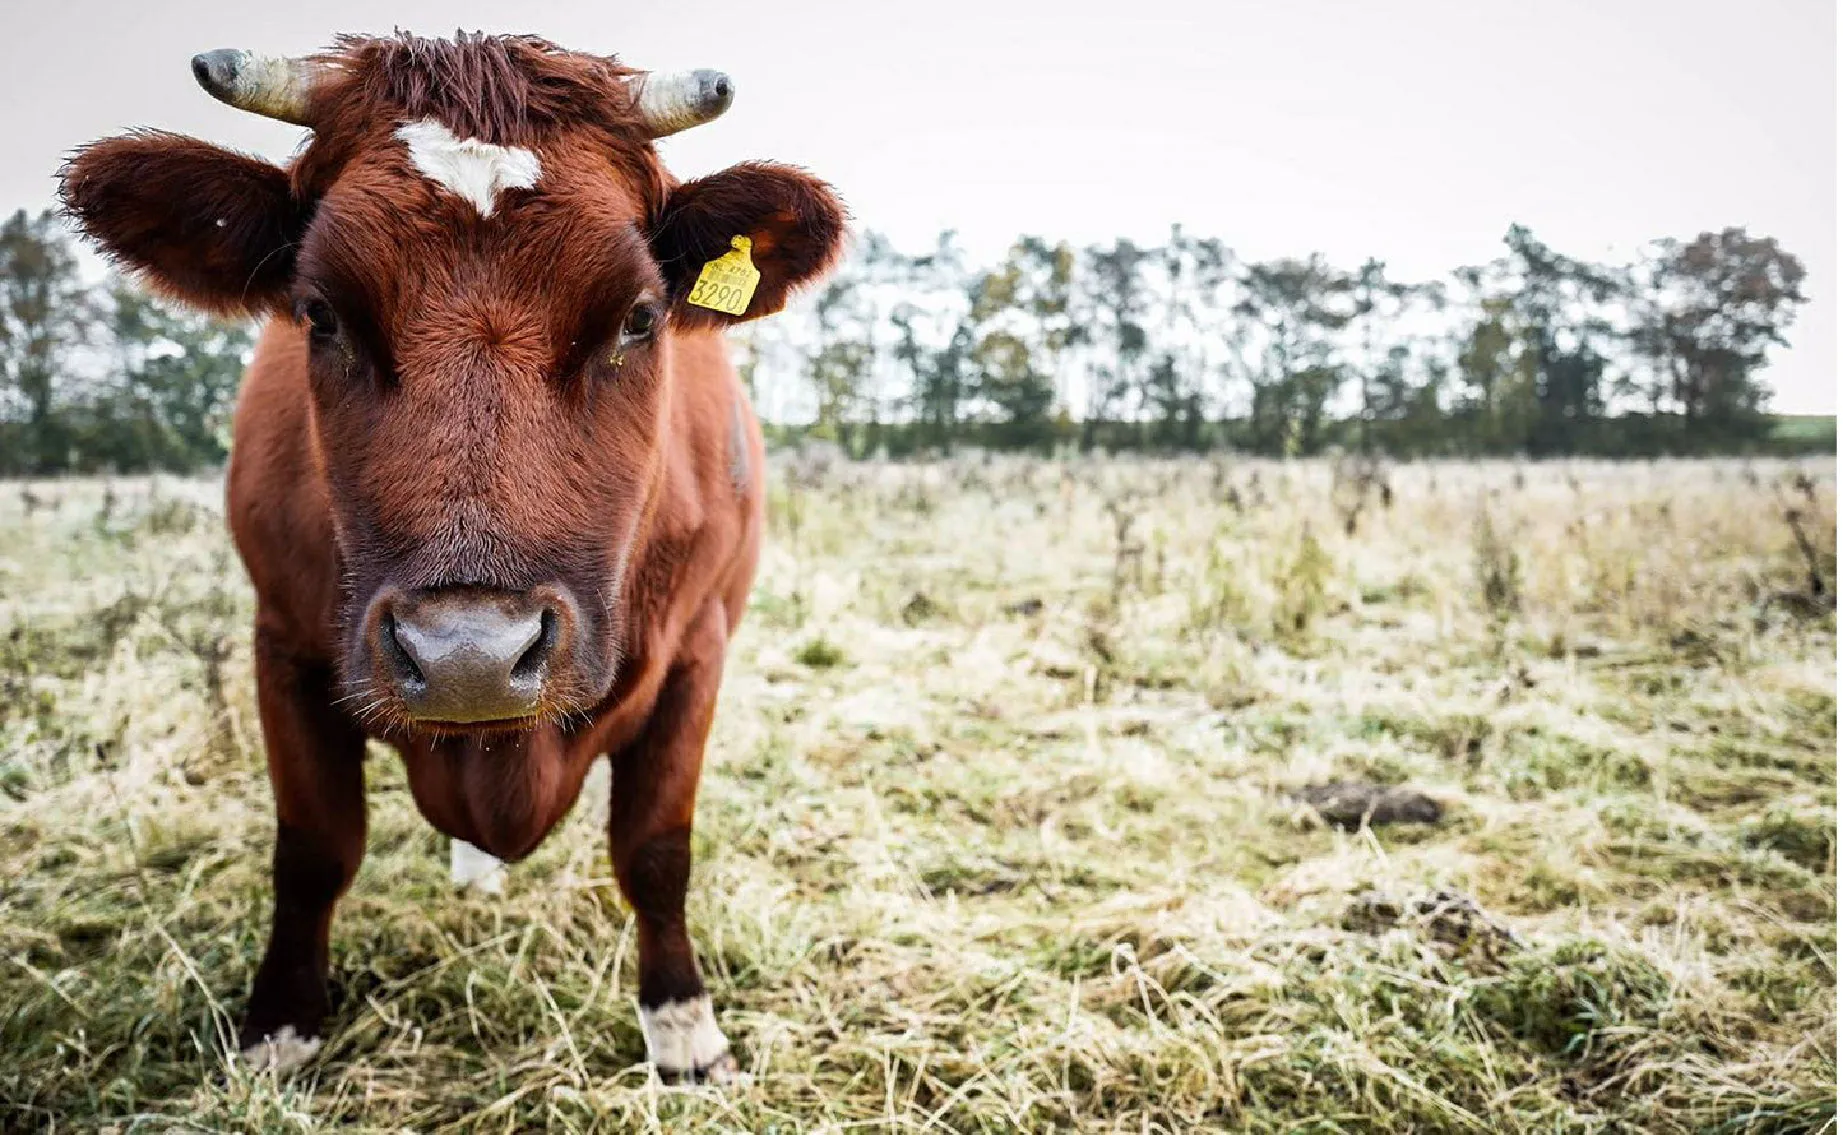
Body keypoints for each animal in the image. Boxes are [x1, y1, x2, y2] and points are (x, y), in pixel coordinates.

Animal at [60, 32, 846, 1082]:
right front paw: (279, 1026)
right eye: (319, 312)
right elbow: (311, 847)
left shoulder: (698, 651)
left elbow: (654, 848)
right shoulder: (283, 645)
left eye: (640, 317)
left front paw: (682, 1029)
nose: (469, 655)